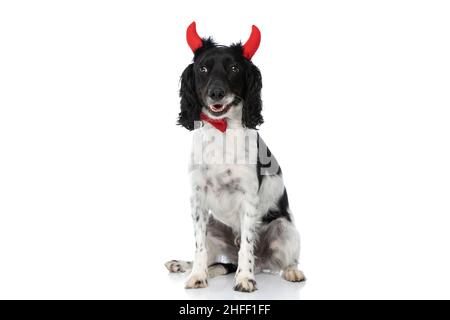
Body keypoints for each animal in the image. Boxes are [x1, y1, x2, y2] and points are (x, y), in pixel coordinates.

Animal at [165, 22, 306, 292]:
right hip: (212, 226)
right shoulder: (197, 198)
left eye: (234, 68)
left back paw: (291, 272)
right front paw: (197, 276)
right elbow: (199, 248)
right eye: (203, 68)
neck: (222, 132)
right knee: (217, 262)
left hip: (285, 229)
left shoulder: (249, 198)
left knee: (287, 260)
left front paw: (245, 278)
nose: (216, 93)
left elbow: (247, 246)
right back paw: (183, 265)